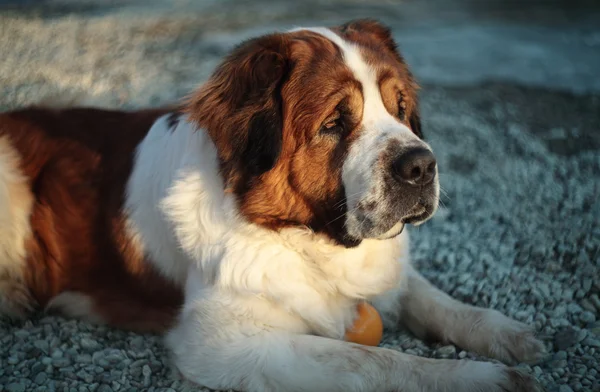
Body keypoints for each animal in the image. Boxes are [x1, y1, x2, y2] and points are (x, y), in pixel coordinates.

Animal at [0, 19, 548, 392]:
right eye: (334, 123)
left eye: (400, 109)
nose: (421, 166)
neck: (298, 236)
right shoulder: (220, 342)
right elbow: (374, 362)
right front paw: (480, 378)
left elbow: (431, 297)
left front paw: (508, 334)